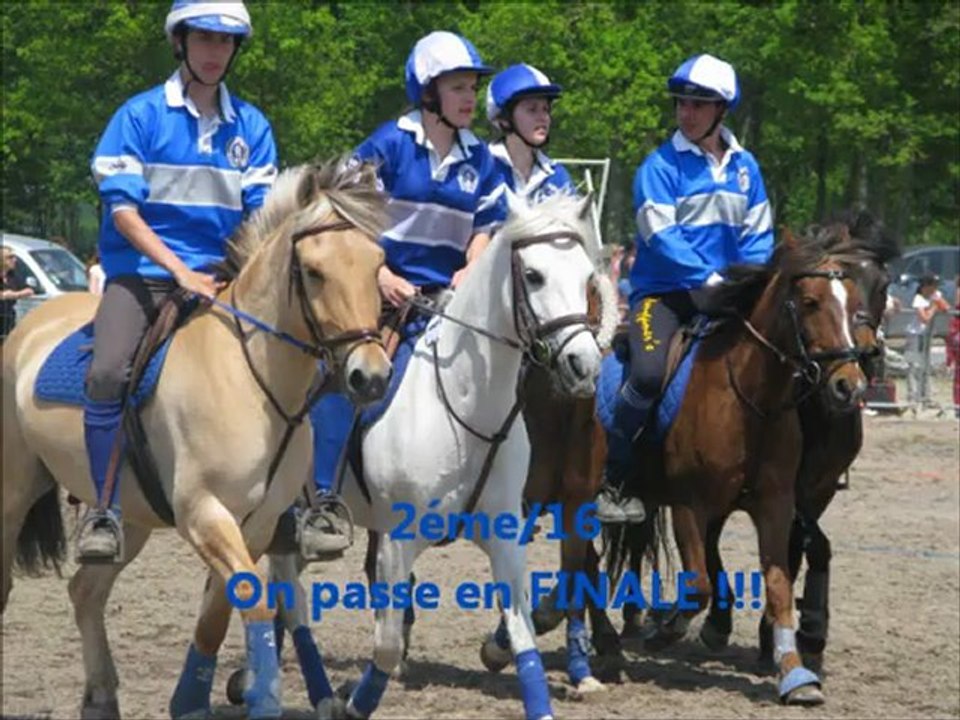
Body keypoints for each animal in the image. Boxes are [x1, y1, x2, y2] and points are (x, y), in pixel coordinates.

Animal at [1, 158, 392, 720]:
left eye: (377, 265)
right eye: (315, 272)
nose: (371, 377)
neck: (252, 378)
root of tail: (30, 323)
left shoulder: (255, 523)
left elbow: (218, 614)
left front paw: (190, 700)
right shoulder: (203, 513)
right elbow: (255, 600)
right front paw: (259, 696)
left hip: (130, 516)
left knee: (85, 592)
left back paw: (100, 695)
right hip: (14, 494)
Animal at [260, 191, 604, 720]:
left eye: (588, 277)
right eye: (533, 275)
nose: (583, 365)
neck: (464, 408)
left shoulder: (507, 536)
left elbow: (523, 637)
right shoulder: (399, 541)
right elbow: (384, 645)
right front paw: (355, 702)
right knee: (285, 593)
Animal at [597, 228, 869, 705]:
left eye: (855, 303)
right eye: (811, 301)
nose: (848, 386)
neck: (749, 397)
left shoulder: (778, 504)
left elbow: (779, 584)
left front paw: (795, 673)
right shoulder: (689, 505)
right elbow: (700, 583)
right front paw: (667, 628)